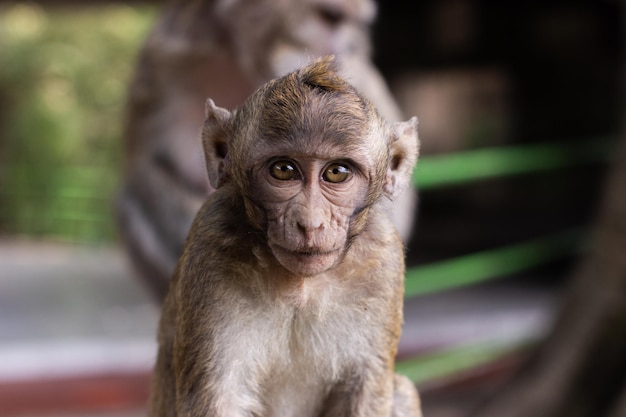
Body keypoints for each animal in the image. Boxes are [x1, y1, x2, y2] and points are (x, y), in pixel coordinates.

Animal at [149, 57, 420, 416]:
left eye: (337, 172)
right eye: (283, 170)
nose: (310, 222)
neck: (301, 286)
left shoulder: (383, 255)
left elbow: (366, 392)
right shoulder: (212, 242)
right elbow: (220, 396)